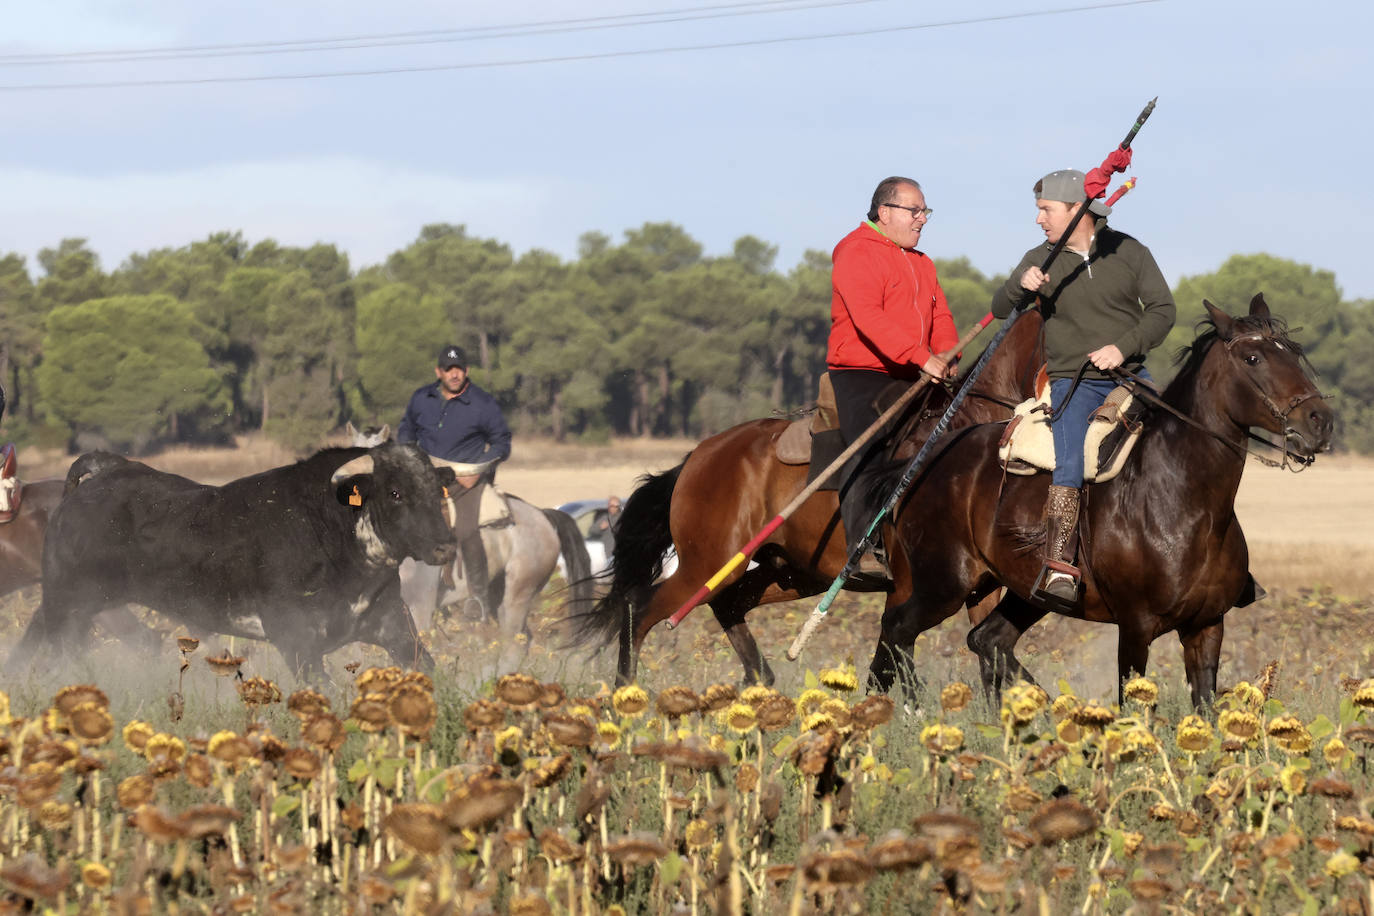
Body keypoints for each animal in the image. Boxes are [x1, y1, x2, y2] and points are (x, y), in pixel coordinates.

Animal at [13, 439, 458, 678]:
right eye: (395, 492)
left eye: (437, 489)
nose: (445, 546)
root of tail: (103, 474)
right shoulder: (296, 641)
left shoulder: (393, 625)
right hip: (68, 608)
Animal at [568, 311, 1038, 683]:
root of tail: (698, 457)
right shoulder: (912, 583)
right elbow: (895, 656)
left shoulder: (978, 583)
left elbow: (985, 653)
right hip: (707, 563)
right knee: (640, 607)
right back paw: (625, 695)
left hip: (788, 571)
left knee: (727, 603)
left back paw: (758, 679)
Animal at [873, 295, 1335, 708]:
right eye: (1253, 358)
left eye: (1295, 353)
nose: (1322, 422)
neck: (1184, 501)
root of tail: (923, 460)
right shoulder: (1135, 626)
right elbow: (1132, 706)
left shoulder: (1207, 627)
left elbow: (1204, 710)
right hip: (944, 583)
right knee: (899, 631)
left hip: (1021, 592)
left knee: (986, 640)